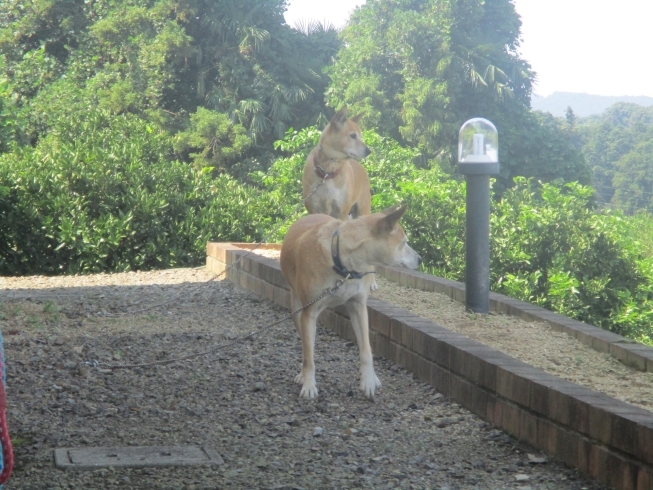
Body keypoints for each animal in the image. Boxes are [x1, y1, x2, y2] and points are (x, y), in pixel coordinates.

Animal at [278, 203, 420, 398]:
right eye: (404, 242)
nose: (420, 259)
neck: (343, 263)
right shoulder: (309, 313)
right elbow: (309, 356)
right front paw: (308, 384)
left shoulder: (358, 308)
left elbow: (366, 350)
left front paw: (368, 380)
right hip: (297, 311)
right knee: (305, 348)